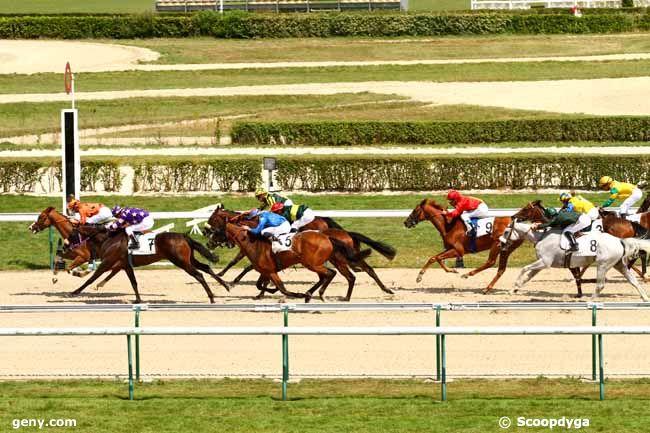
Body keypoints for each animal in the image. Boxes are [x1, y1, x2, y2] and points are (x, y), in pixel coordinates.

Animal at [70, 224, 228, 302]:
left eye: (71, 234)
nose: (68, 246)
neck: (109, 239)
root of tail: (183, 236)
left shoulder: (107, 262)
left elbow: (92, 278)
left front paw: (75, 291)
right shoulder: (125, 265)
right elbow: (133, 282)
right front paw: (138, 300)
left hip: (181, 261)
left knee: (199, 275)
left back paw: (212, 297)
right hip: (189, 259)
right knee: (205, 268)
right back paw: (226, 285)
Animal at [223, 219, 370, 300]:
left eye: (218, 230)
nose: (227, 244)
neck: (252, 242)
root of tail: (328, 237)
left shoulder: (270, 270)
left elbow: (280, 287)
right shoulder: (266, 270)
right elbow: (260, 284)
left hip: (313, 263)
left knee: (331, 273)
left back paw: (316, 294)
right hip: (317, 263)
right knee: (330, 276)